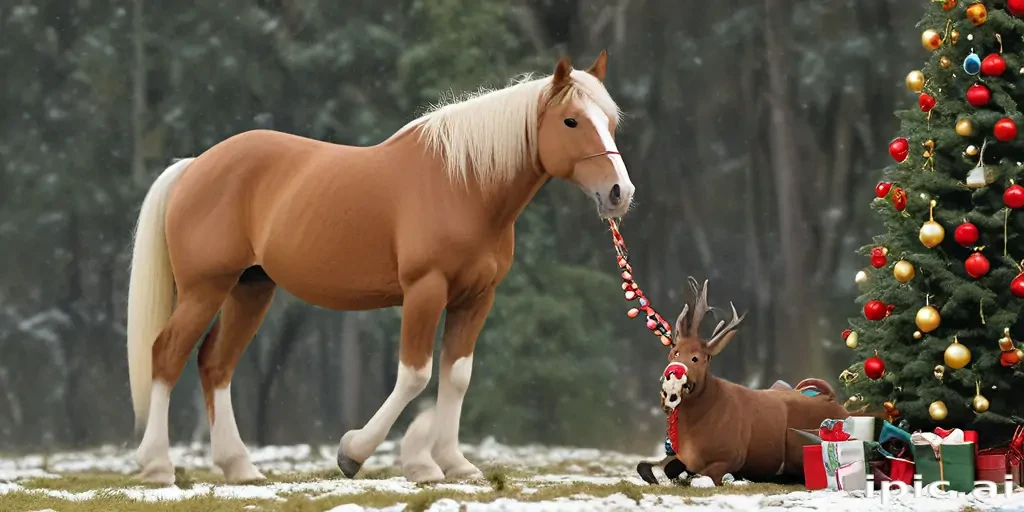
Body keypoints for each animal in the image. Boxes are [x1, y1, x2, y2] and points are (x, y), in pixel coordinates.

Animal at [126, 51, 634, 485]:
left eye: (610, 122)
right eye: (571, 120)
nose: (619, 193)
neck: (464, 185)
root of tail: (195, 166)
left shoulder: (476, 298)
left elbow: (457, 376)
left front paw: (455, 463)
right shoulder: (425, 290)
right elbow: (415, 375)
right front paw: (361, 455)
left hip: (250, 289)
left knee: (216, 364)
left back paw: (240, 467)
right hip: (205, 289)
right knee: (167, 354)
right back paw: (158, 466)